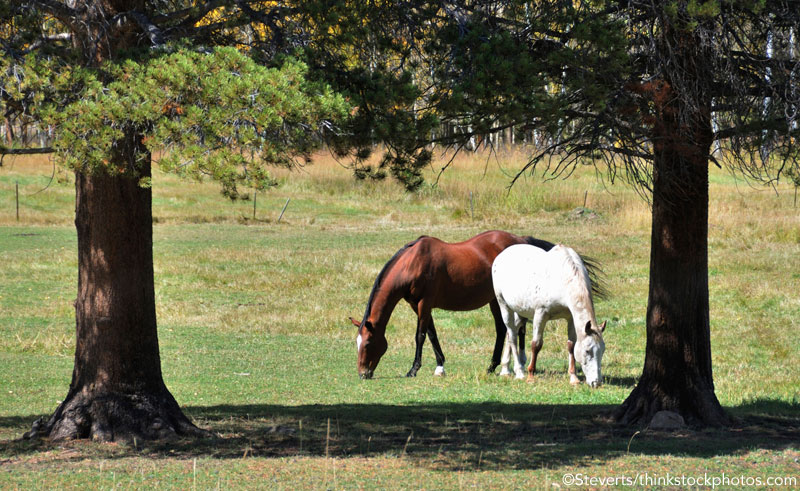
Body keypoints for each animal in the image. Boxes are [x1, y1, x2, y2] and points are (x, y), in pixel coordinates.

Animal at [350, 232, 556, 380]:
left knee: (511, 328)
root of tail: (520, 240)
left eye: (367, 343)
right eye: (357, 343)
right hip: (496, 300)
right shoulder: (418, 305)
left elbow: (420, 336)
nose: (363, 374)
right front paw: (440, 366)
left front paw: (413, 369)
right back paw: (499, 366)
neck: (412, 264)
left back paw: (506, 364)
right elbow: (432, 334)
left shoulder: (424, 303)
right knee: (506, 329)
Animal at [494, 243, 608, 388]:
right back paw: (519, 372)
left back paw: (505, 369)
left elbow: (571, 346)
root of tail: (501, 255)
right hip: (504, 305)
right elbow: (536, 345)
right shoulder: (540, 314)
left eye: (603, 350)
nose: (596, 382)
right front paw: (531, 376)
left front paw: (574, 378)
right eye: (588, 351)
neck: (563, 278)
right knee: (513, 336)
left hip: (521, 312)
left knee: (511, 332)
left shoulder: (570, 318)